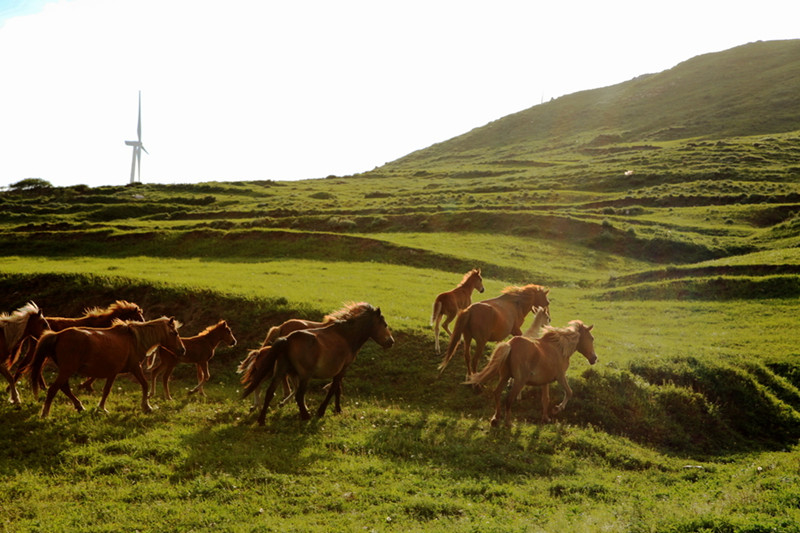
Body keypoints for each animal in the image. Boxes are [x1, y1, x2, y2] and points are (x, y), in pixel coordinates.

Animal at [28, 316, 184, 416]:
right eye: (175, 333)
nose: (182, 350)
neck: (134, 340)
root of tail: (57, 335)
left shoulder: (112, 373)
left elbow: (106, 391)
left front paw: (101, 408)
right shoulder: (135, 368)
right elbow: (144, 385)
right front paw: (147, 406)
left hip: (65, 370)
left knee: (64, 388)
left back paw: (80, 407)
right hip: (67, 370)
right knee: (53, 389)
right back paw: (45, 413)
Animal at [242, 304, 396, 424]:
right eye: (384, 324)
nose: (391, 342)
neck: (345, 336)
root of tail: (287, 338)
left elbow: (337, 389)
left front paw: (337, 410)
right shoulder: (342, 369)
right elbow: (333, 389)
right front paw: (323, 411)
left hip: (281, 370)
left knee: (270, 392)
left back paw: (262, 419)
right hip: (304, 375)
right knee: (298, 395)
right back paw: (305, 416)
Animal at [466, 318, 596, 426]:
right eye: (591, 338)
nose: (594, 358)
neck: (559, 348)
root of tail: (510, 344)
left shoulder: (545, 381)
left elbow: (545, 399)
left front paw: (546, 418)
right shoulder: (560, 376)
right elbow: (569, 392)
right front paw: (557, 409)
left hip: (505, 377)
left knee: (497, 393)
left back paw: (495, 419)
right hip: (519, 381)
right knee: (509, 399)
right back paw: (508, 422)